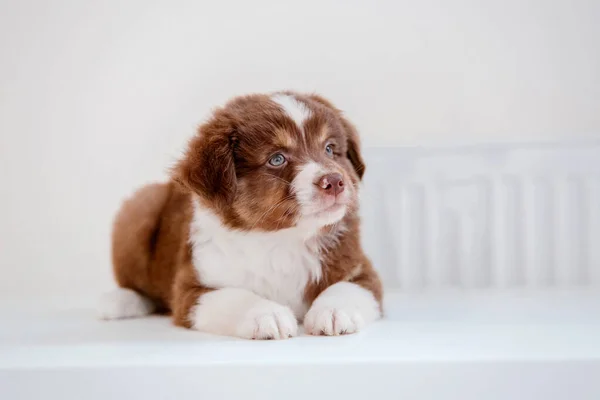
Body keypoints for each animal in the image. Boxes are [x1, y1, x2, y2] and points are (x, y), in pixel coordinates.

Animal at [96, 92, 382, 340]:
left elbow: (346, 287)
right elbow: (235, 296)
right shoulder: (192, 288)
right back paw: (118, 301)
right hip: (142, 205)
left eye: (330, 149)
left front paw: (334, 311)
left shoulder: (361, 269)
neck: (282, 239)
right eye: (277, 159)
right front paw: (267, 314)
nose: (334, 181)